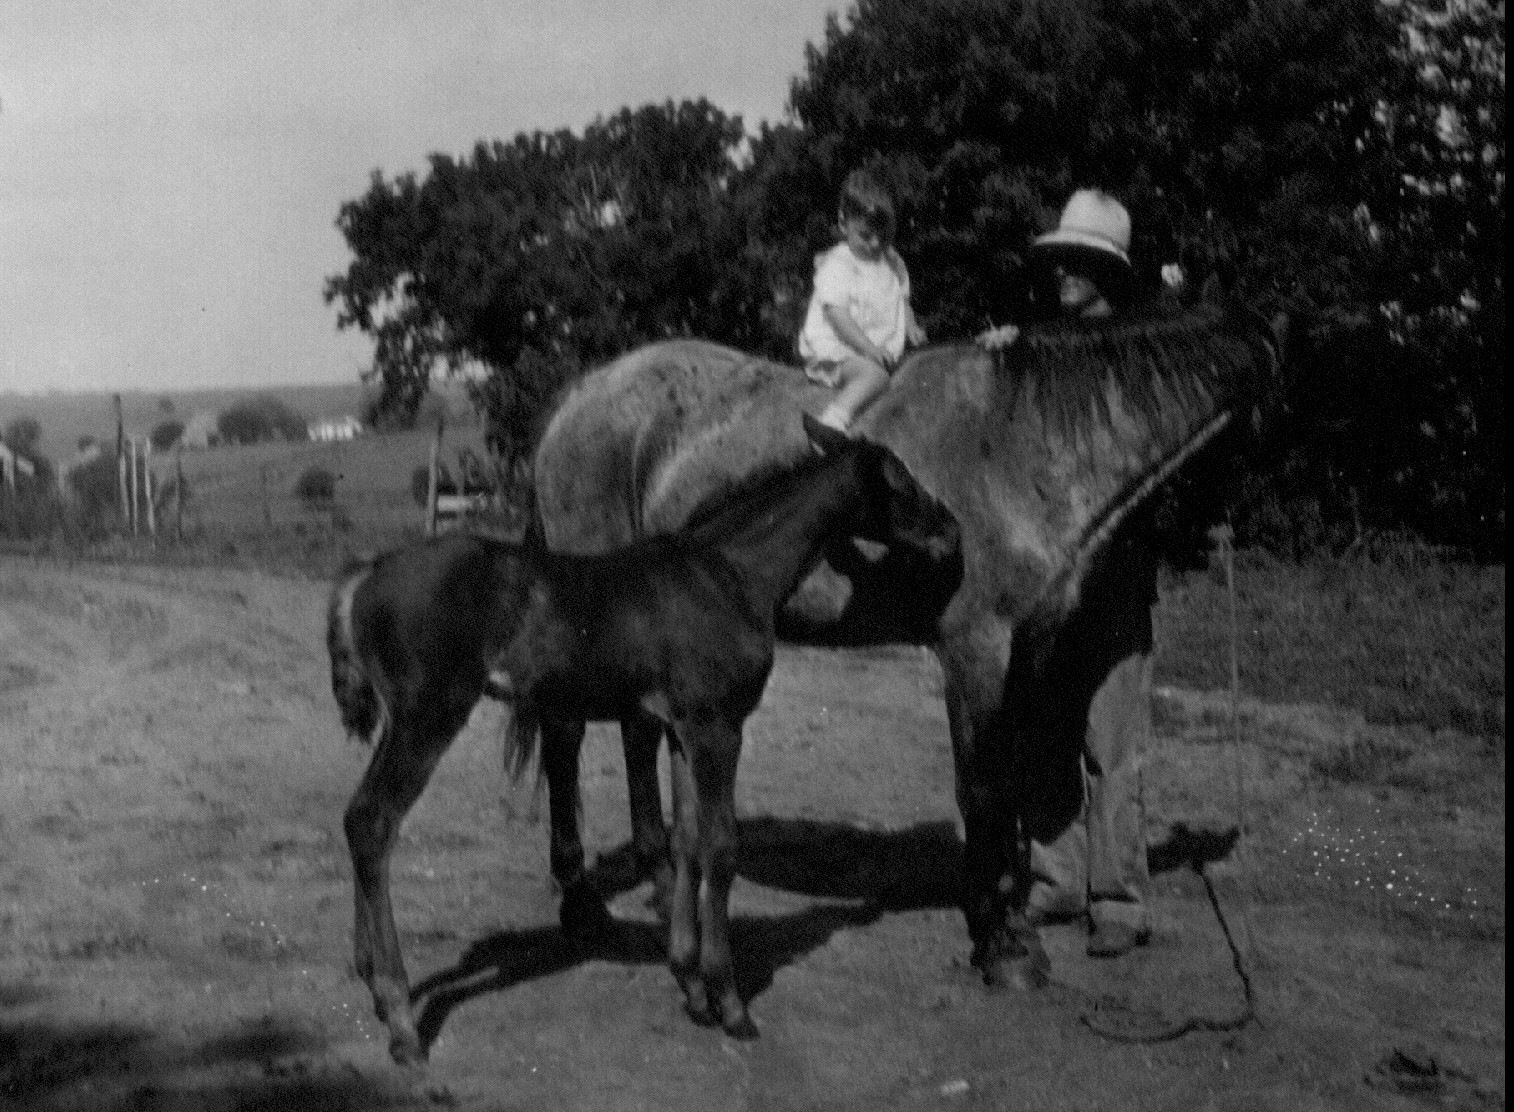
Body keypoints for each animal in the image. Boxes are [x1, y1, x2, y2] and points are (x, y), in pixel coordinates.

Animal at [328, 415, 956, 1060]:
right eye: (899, 479)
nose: (950, 531)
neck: (730, 573)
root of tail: (364, 576)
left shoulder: (682, 729)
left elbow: (685, 840)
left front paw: (690, 983)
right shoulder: (718, 726)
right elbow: (721, 847)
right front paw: (729, 1002)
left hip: (403, 722)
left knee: (360, 819)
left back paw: (372, 983)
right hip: (428, 716)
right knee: (373, 820)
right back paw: (400, 1014)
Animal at [532, 302, 1289, 993]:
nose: (1220, 538)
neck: (1018, 446)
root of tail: (584, 394)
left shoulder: (1031, 653)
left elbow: (1015, 785)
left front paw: (1012, 922)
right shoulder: (976, 652)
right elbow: (982, 789)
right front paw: (1004, 947)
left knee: (636, 732)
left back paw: (662, 889)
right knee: (566, 734)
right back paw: (582, 904)